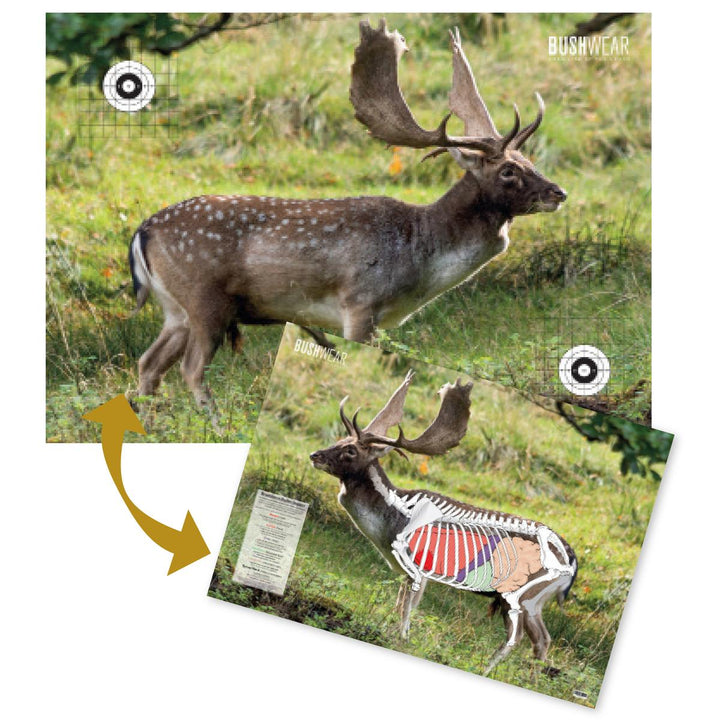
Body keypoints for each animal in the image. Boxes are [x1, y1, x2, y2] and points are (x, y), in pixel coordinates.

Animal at [129, 19, 566, 415]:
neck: (421, 257)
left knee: (148, 363)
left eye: (528, 159)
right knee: (190, 369)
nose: (558, 193)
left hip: (176, 309)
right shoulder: (359, 303)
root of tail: (141, 232)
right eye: (508, 170)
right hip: (206, 299)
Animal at [309, 371, 577, 674]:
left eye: (351, 450)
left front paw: (402, 638)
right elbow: (399, 604)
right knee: (542, 639)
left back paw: (487, 669)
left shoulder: (420, 568)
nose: (315, 455)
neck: (391, 525)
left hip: (523, 594)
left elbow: (408, 608)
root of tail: (573, 563)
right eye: (340, 439)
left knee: (523, 636)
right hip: (533, 601)